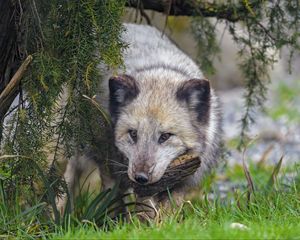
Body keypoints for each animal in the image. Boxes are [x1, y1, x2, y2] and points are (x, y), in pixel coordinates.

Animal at [61, 23, 221, 216]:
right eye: (133, 134)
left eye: (165, 136)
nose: (141, 178)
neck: (158, 70)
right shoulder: (111, 167)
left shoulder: (181, 184)